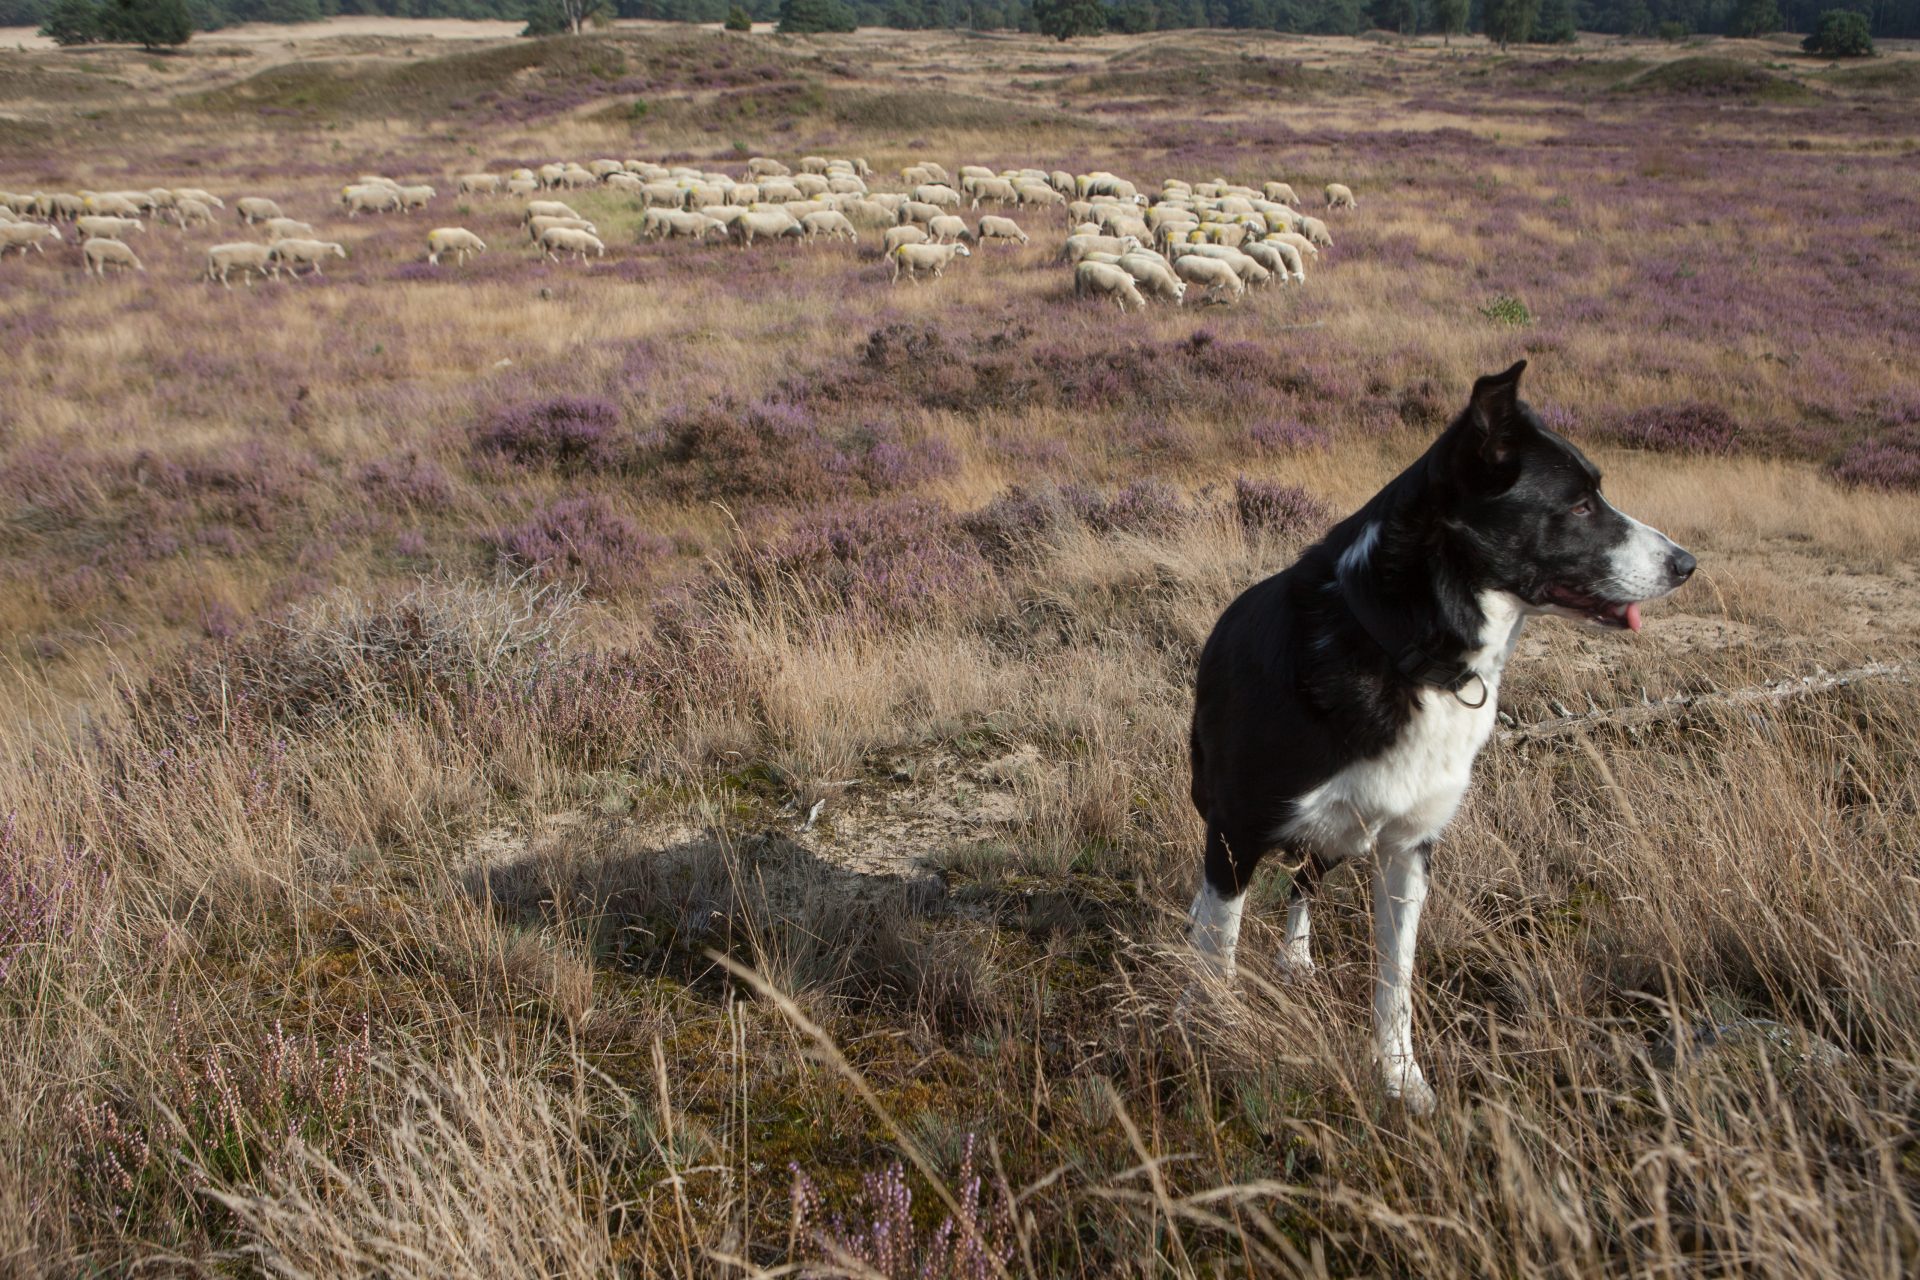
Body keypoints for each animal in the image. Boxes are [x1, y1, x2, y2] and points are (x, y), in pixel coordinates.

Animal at [1182, 360, 1697, 1113]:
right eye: (1578, 506)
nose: (1687, 564)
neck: (1406, 649)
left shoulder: (1408, 846)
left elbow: (1395, 980)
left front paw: (1401, 1080)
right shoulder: (1238, 827)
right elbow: (1219, 952)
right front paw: (1206, 1039)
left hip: (1340, 833)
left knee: (1305, 881)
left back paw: (1296, 958)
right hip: (1227, 806)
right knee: (1229, 895)